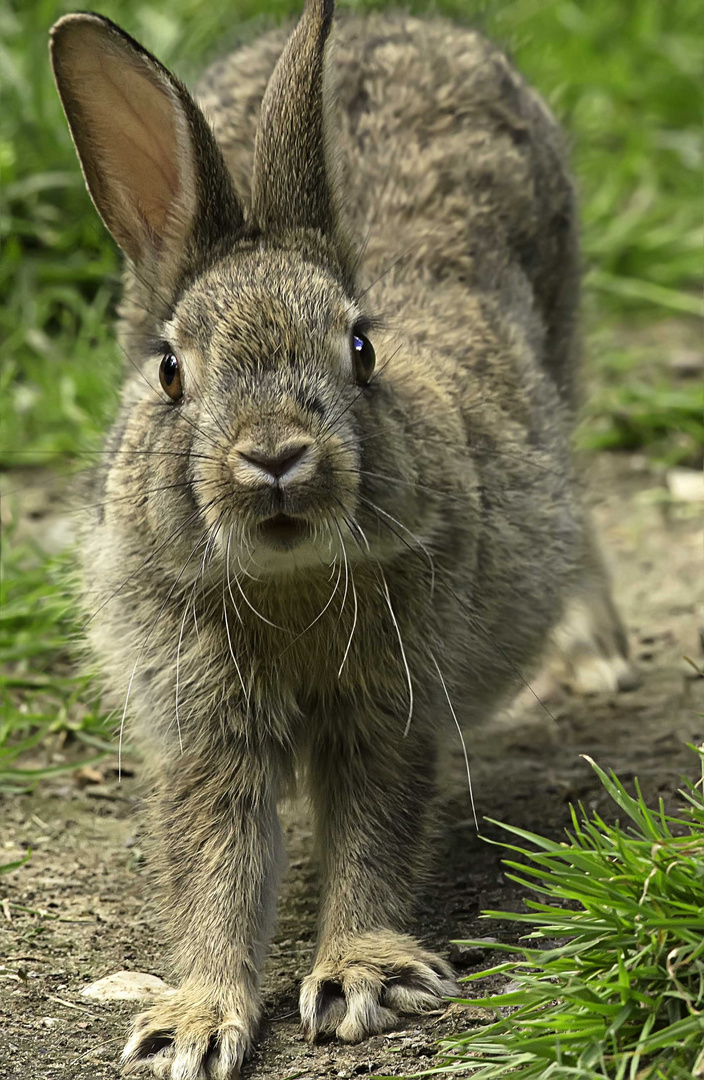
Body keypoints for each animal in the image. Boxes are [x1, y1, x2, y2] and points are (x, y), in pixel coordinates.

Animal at [49, 4, 630, 1075]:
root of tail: (390, 23)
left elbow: (374, 831)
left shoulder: (389, 703)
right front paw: (193, 1025)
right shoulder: (206, 723)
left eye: (362, 350)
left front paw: (364, 977)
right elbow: (216, 864)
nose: (277, 456)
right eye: (169, 373)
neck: (288, 580)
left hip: (563, 331)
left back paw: (594, 648)